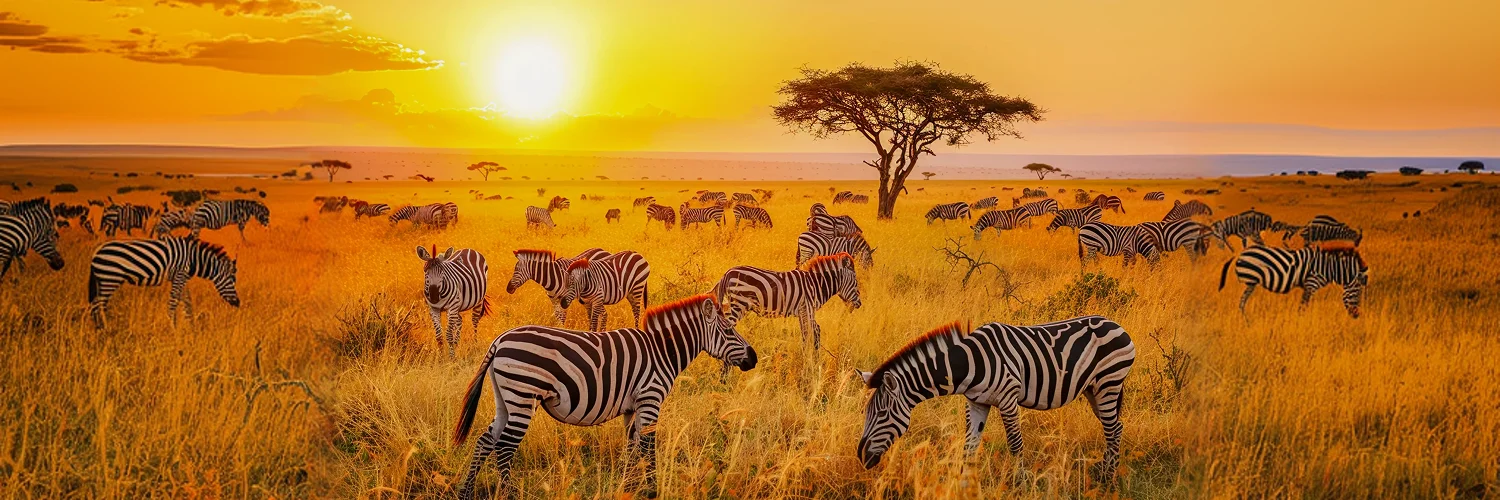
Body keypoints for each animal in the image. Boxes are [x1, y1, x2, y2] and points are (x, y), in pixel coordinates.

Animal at [87, 237, 240, 329]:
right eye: (232, 280)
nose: (238, 303)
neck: (194, 259)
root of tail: (97, 250)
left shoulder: (181, 278)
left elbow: (187, 301)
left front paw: (191, 326)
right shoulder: (179, 275)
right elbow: (173, 303)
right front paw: (173, 328)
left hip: (103, 280)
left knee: (95, 304)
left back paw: (98, 328)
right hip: (109, 278)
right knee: (99, 305)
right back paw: (107, 329)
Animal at [451, 294, 758, 499]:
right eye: (728, 330)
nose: (753, 358)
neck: (662, 351)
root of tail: (500, 340)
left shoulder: (633, 407)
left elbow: (632, 448)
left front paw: (628, 487)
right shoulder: (650, 399)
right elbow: (648, 448)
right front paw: (651, 489)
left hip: (506, 399)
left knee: (485, 441)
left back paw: (466, 491)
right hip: (524, 395)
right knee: (504, 447)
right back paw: (511, 493)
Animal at [711, 252, 861, 349]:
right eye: (856, 282)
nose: (859, 304)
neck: (815, 283)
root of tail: (727, 273)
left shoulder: (803, 312)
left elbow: (808, 333)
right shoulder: (807, 309)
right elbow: (812, 332)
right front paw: (809, 360)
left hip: (733, 305)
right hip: (739, 304)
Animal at [854, 316, 1134, 482]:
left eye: (882, 414)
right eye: (866, 414)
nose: (861, 456)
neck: (968, 365)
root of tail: (1116, 324)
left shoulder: (1009, 399)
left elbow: (1015, 444)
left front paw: (1021, 483)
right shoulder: (977, 403)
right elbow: (969, 447)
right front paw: (964, 482)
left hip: (1109, 383)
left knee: (1113, 429)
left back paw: (1109, 479)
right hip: (1094, 389)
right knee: (1115, 427)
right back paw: (1104, 472)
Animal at [1219, 243, 1368, 318]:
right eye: (1358, 292)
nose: (1357, 316)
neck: (1329, 267)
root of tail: (1241, 253)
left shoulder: (1308, 286)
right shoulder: (1311, 283)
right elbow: (1303, 306)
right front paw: (1301, 322)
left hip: (1249, 283)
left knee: (1241, 302)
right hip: (1247, 281)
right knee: (1240, 302)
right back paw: (1245, 321)